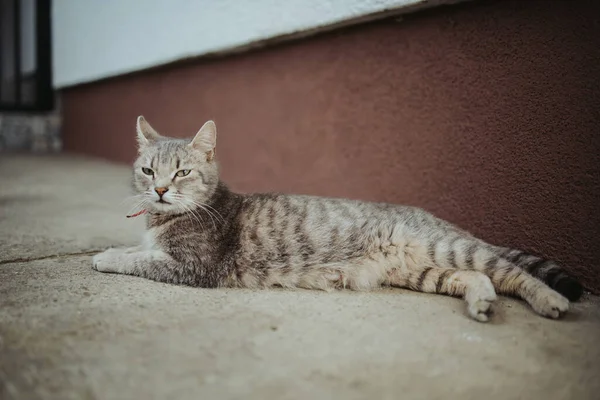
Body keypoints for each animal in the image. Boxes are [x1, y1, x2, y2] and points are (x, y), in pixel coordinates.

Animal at [91, 115, 584, 322]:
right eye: (148, 171)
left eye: (182, 172)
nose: (159, 189)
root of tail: (442, 222)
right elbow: (140, 249)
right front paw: (119, 246)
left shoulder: (196, 267)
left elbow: (138, 259)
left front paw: (106, 256)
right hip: (426, 271)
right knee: (478, 279)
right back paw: (481, 302)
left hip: (449, 249)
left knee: (515, 273)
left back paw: (550, 301)